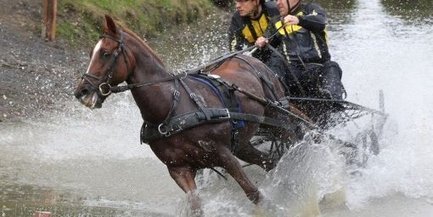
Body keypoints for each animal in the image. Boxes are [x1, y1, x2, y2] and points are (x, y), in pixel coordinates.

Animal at [73, 15, 304, 215]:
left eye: (105, 53)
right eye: (91, 53)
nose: (81, 91)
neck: (172, 107)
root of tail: (253, 60)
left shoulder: (224, 154)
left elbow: (253, 193)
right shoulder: (179, 169)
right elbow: (195, 206)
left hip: (279, 119)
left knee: (293, 142)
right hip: (243, 144)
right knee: (270, 161)